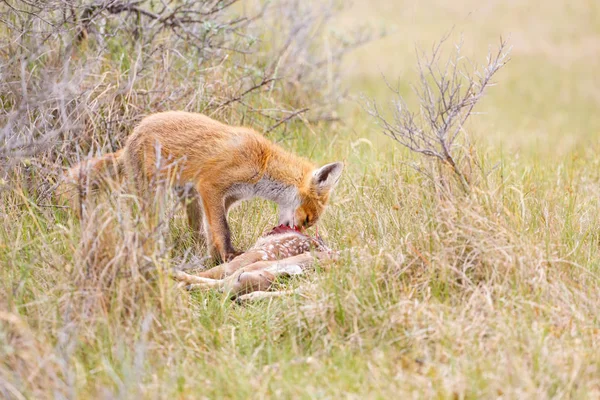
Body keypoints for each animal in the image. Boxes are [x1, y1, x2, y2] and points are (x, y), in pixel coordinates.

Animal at [61, 111, 344, 262]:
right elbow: (223, 230)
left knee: (195, 231)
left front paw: (216, 257)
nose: (301, 235)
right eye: (307, 219)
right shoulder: (211, 186)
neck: (263, 164)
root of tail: (132, 135)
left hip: (190, 199)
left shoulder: (226, 197)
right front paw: (229, 256)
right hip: (155, 196)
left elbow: (214, 229)